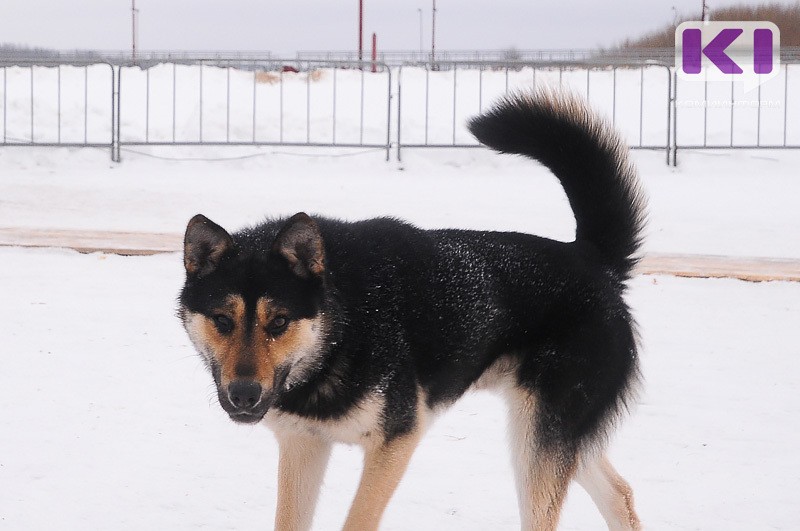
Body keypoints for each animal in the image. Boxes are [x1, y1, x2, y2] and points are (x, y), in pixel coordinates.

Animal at [180, 92, 644, 531]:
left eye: (278, 321)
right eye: (223, 321)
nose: (243, 394)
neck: (344, 325)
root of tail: (592, 259)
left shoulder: (396, 440)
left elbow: (357, 521)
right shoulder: (304, 443)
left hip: (538, 441)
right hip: (554, 435)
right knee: (620, 492)